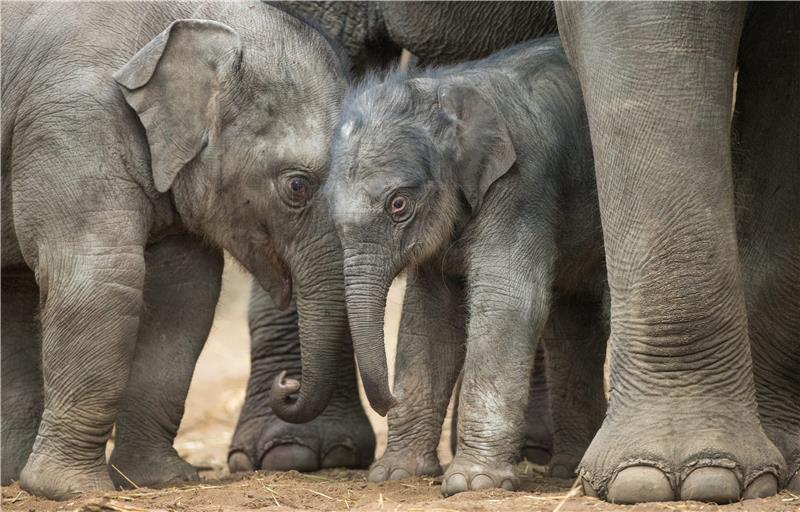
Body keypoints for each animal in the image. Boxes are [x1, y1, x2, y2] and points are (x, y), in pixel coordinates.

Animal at [324, 37, 608, 496]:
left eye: (398, 204)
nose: (389, 399)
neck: (449, 92)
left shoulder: (522, 182)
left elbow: (506, 300)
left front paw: (471, 483)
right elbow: (429, 319)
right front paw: (396, 473)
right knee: (571, 328)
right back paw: (569, 470)